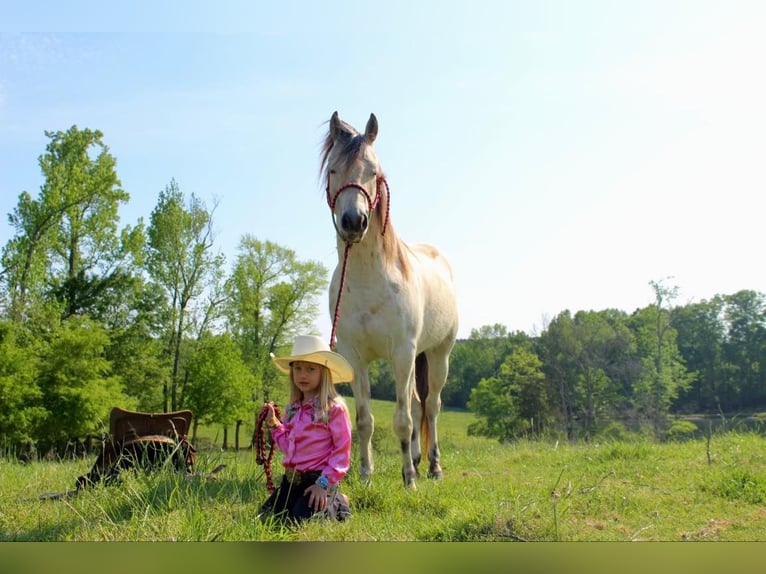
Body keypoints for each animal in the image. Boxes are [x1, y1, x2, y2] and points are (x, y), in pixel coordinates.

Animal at [320, 110, 460, 488]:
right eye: (333, 170)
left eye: (373, 171)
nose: (354, 221)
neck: (371, 280)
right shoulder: (355, 358)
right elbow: (365, 420)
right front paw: (366, 475)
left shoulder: (402, 352)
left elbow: (402, 419)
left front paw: (409, 479)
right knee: (416, 404)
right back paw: (416, 459)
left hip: (437, 355)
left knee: (430, 407)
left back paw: (432, 467)